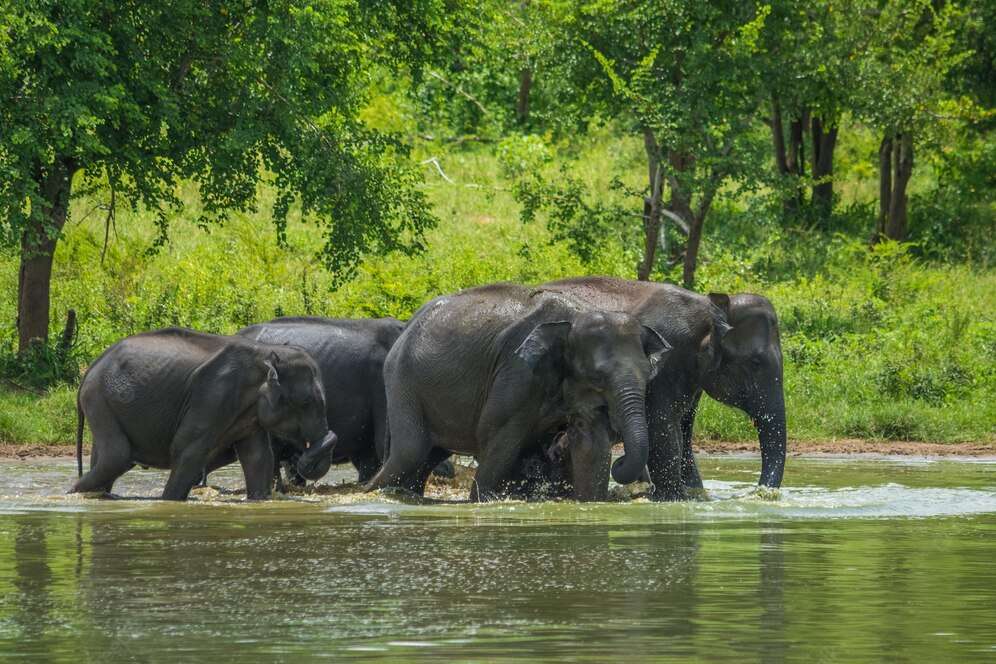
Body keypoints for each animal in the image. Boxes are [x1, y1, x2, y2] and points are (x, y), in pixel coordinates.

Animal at [69, 330, 338, 500]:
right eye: (306, 402)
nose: (302, 459)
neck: (267, 354)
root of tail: (89, 370)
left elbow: (258, 457)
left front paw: (260, 500)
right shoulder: (212, 396)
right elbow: (188, 451)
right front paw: (168, 502)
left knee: (105, 460)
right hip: (100, 400)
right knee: (118, 457)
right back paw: (72, 494)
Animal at [362, 282, 672, 500]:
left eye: (649, 375)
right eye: (597, 375)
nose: (621, 463)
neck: (575, 317)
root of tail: (406, 327)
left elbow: (591, 443)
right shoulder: (516, 370)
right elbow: (499, 437)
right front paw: (480, 500)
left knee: (426, 456)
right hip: (401, 380)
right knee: (410, 452)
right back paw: (371, 492)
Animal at [532, 274, 784, 498]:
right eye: (755, 363)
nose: (761, 494)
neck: (705, 307)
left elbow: (683, 434)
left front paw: (694, 495)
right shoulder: (663, 365)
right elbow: (662, 431)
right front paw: (674, 498)